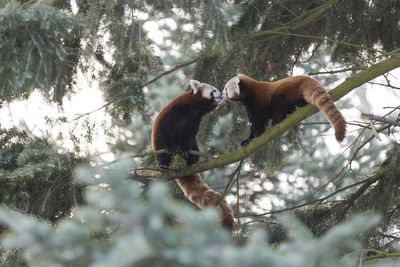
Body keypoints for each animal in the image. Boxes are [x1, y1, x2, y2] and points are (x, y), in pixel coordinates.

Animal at [152, 79, 234, 230]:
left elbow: (188, 138)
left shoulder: (194, 122)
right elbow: (164, 133)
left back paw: (189, 159)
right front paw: (169, 148)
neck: (193, 109)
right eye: (214, 90)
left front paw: (184, 150)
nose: (221, 93)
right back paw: (164, 164)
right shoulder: (171, 113)